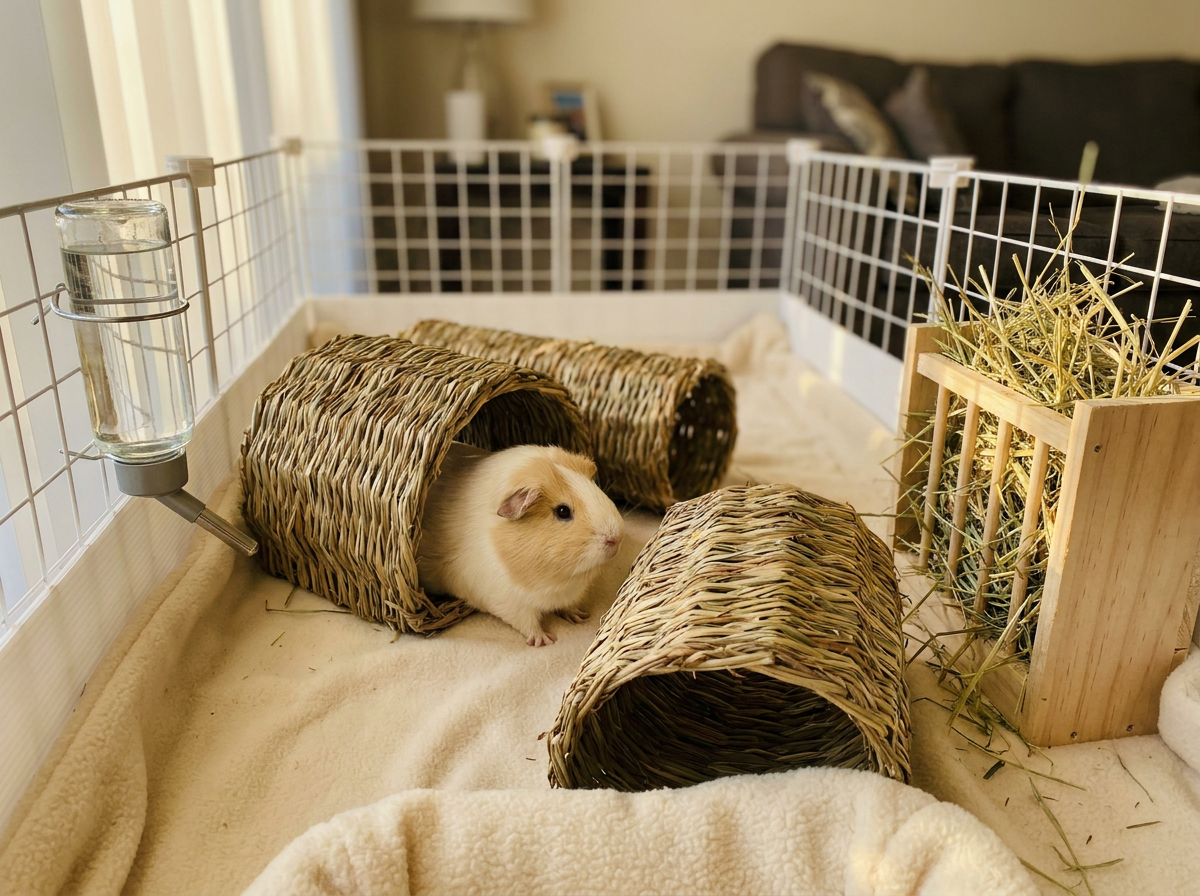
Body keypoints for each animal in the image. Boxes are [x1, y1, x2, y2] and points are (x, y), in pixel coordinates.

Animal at [417, 443, 625, 646]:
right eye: (563, 511)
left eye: (595, 489)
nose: (616, 538)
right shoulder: (508, 601)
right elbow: (527, 623)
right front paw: (544, 640)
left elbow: (567, 606)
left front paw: (579, 616)